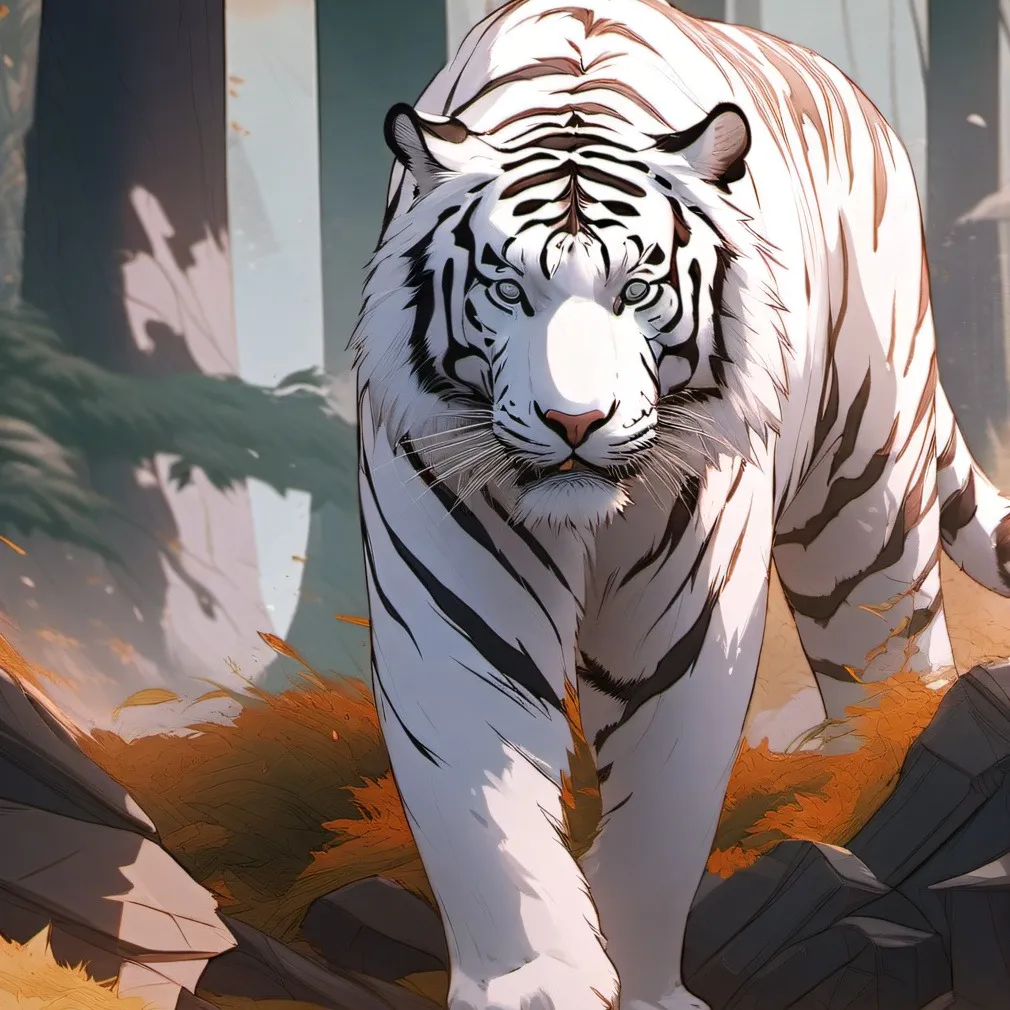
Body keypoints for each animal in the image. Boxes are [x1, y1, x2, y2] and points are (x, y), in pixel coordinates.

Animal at [350, 2, 1010, 1009]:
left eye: (637, 288)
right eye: (506, 290)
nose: (573, 420)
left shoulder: (689, 620)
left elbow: (663, 812)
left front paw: (644, 983)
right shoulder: (451, 599)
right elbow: (481, 805)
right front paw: (537, 983)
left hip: (866, 491)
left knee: (891, 653)